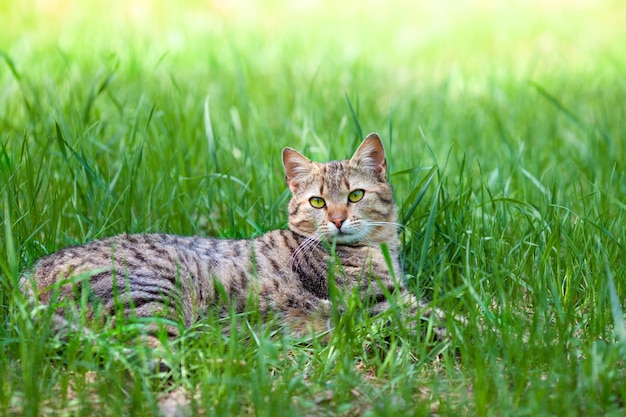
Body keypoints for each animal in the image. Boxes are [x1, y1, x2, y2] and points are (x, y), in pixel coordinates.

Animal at [20, 133, 438, 344]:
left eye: (355, 196)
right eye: (317, 202)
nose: (337, 220)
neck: (379, 249)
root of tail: (28, 275)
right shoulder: (382, 304)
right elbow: (446, 318)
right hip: (152, 297)